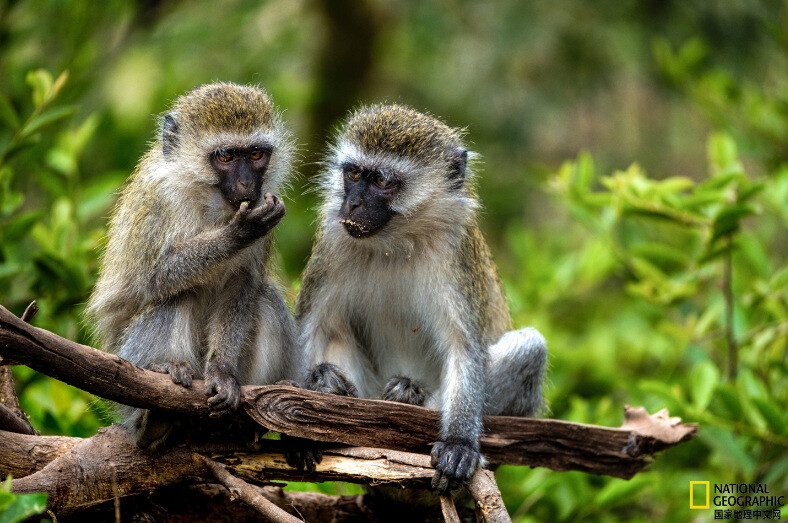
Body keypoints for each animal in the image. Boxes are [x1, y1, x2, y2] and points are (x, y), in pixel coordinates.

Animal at [84, 82, 298, 450]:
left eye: (256, 155)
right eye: (226, 156)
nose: (247, 185)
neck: (209, 200)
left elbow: (242, 283)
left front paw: (222, 373)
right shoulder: (159, 199)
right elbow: (152, 279)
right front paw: (238, 233)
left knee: (265, 299)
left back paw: (241, 426)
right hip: (129, 358)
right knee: (175, 294)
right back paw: (157, 407)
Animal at [290, 104, 548, 498]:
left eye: (382, 181)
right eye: (353, 174)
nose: (352, 203)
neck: (396, 241)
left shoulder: (456, 252)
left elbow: (463, 346)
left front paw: (459, 442)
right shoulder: (333, 238)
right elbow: (310, 327)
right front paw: (302, 424)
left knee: (531, 346)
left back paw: (408, 396)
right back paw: (329, 384)